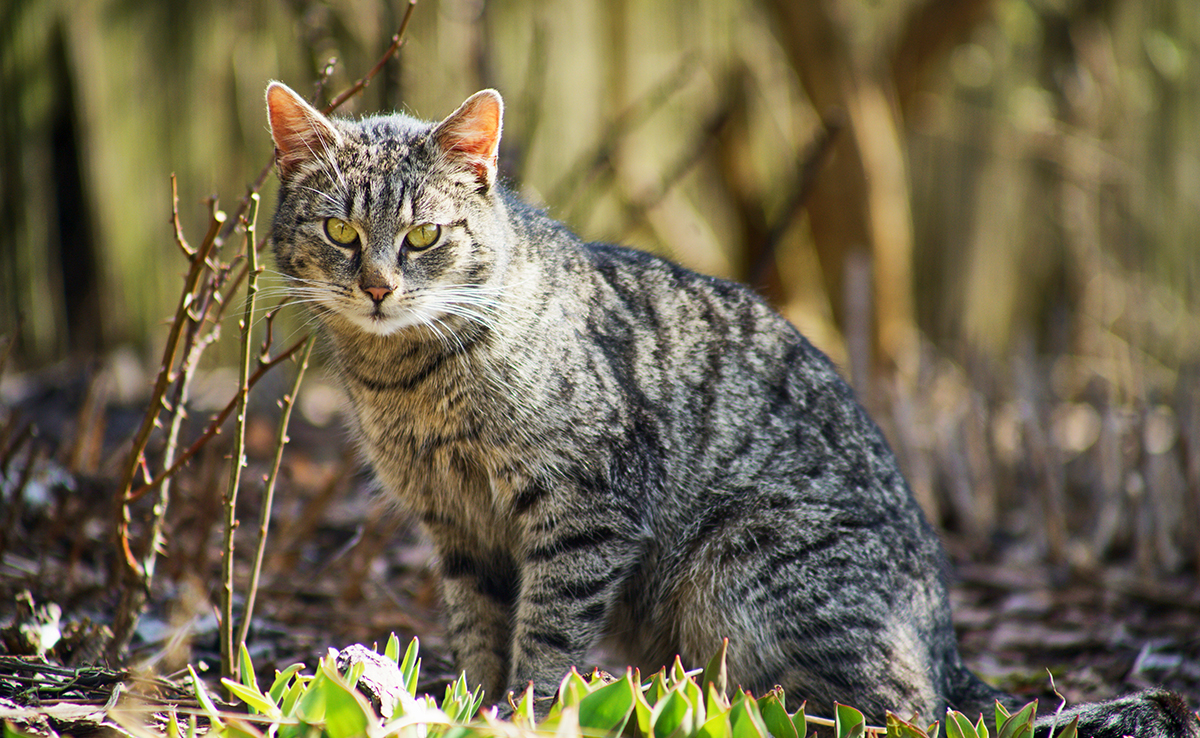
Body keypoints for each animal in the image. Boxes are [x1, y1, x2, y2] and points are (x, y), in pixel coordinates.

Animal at [262, 82, 1190, 738]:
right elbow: (479, 631)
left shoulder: (587, 505)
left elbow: (548, 632)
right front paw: (472, 710)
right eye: (342, 233)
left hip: (746, 567)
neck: (406, 379)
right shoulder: (457, 528)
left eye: (423, 237)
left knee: (900, 710)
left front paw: (527, 711)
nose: (377, 287)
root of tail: (949, 643)